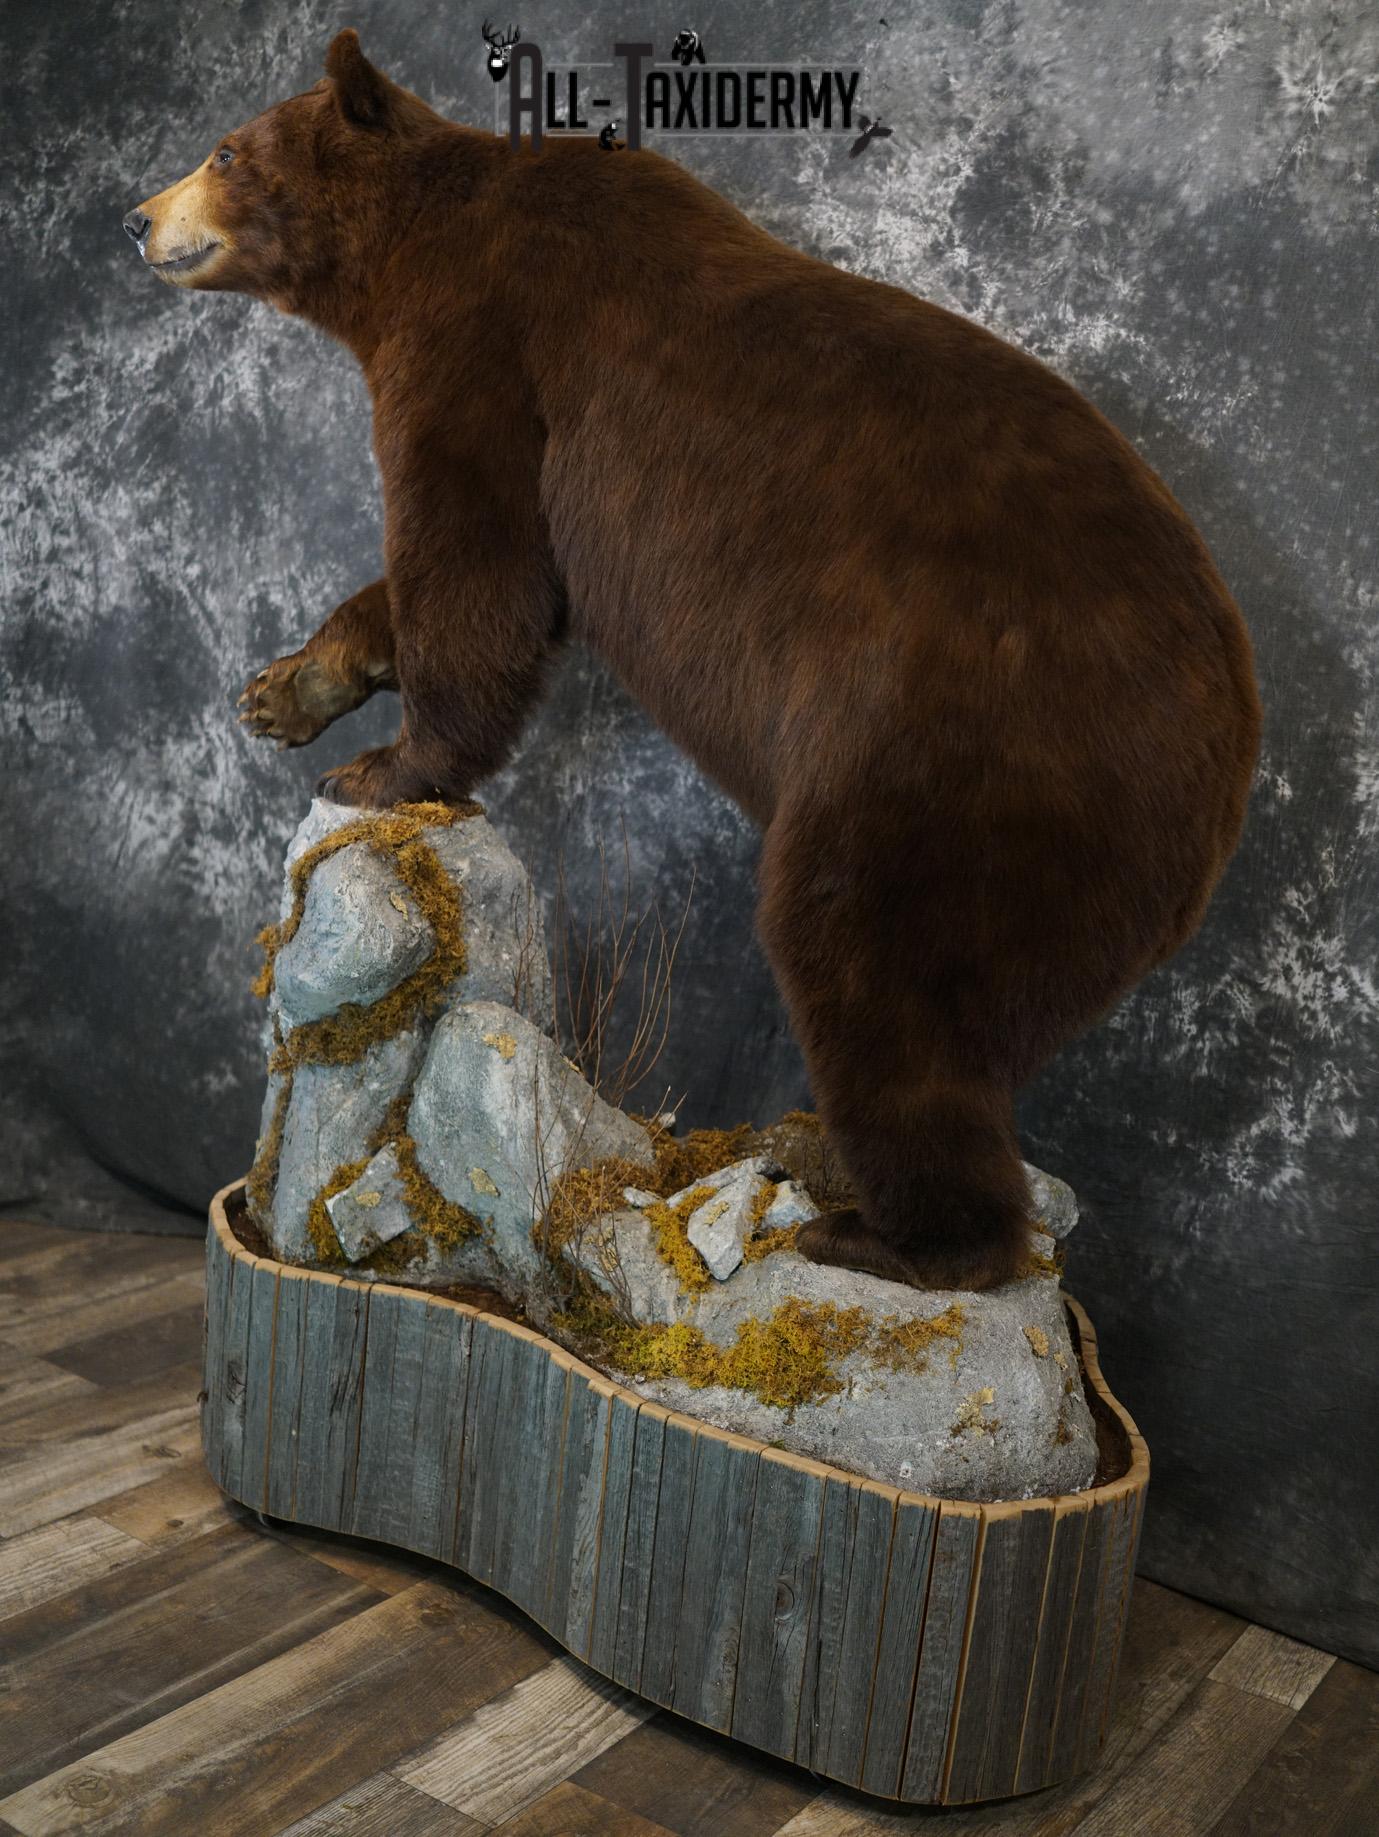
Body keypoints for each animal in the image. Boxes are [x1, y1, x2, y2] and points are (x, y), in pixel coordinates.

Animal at [124, 30, 1262, 1292]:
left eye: (226, 150)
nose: (136, 216)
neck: (410, 252)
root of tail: (1224, 754)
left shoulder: (484, 350)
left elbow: (473, 564)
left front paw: (386, 767)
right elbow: (463, 586)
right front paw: (284, 691)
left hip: (948, 769)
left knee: (872, 977)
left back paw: (884, 1233)